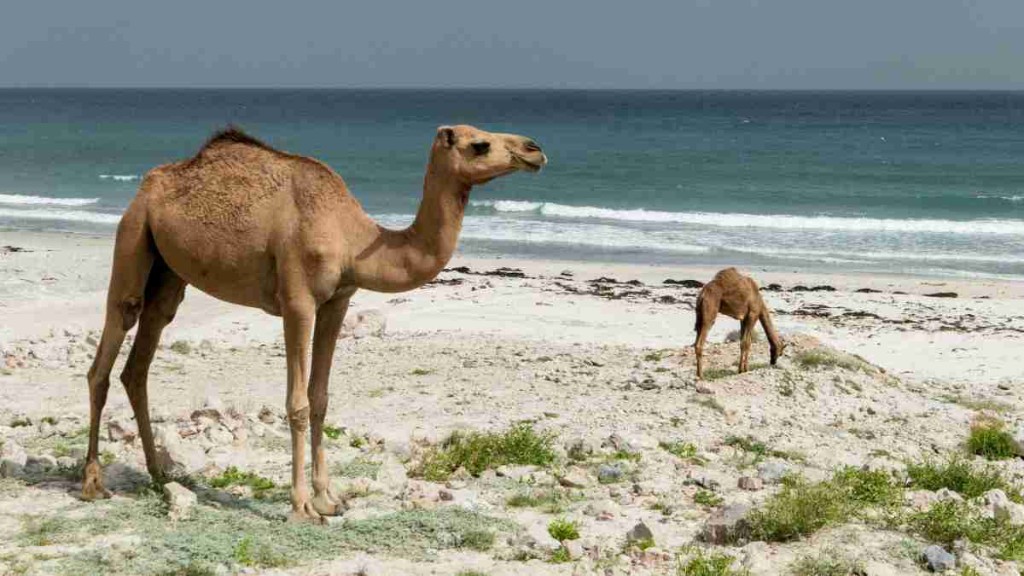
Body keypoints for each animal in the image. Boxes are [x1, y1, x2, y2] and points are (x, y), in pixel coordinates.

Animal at [81, 125, 546, 522]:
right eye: (480, 144)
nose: (534, 149)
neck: (354, 240)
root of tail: (148, 185)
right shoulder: (298, 302)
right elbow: (298, 403)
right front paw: (302, 506)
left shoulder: (338, 301)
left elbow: (321, 398)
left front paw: (329, 499)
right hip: (134, 232)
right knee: (109, 347)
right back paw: (93, 483)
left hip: (169, 269)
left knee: (141, 356)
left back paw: (159, 473)